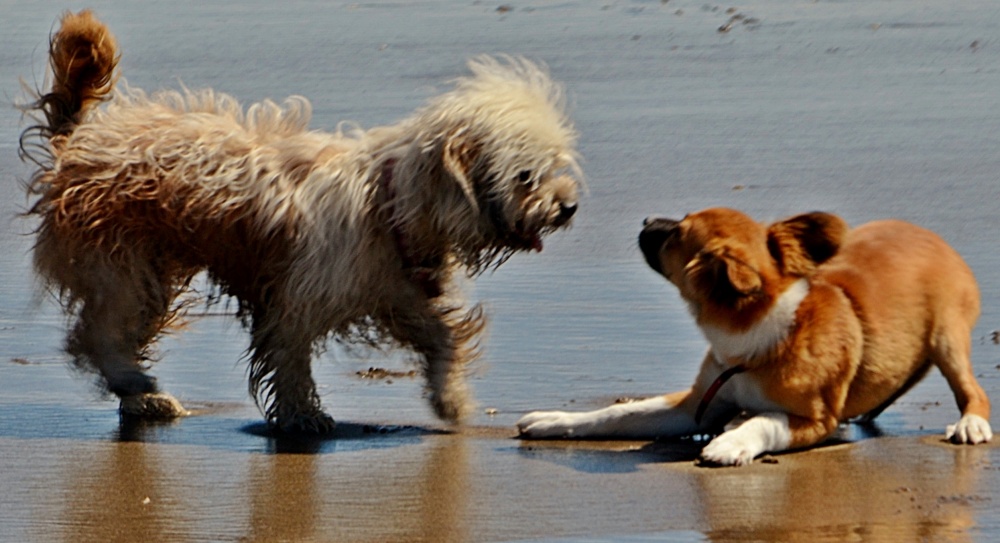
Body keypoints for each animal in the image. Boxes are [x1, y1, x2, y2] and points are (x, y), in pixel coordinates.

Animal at [19, 9, 584, 434]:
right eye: (526, 176)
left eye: (556, 166)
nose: (568, 207)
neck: (390, 202)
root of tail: (79, 142)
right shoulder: (298, 296)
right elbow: (290, 357)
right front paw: (301, 417)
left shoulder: (398, 292)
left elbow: (442, 337)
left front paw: (450, 398)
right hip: (124, 265)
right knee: (97, 336)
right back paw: (136, 385)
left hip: (149, 271)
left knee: (113, 334)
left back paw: (141, 399)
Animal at [516, 208, 992, 468]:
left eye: (677, 233)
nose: (647, 219)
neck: (750, 345)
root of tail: (928, 234)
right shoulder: (696, 406)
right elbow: (618, 413)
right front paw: (555, 420)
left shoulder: (815, 421)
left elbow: (766, 420)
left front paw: (732, 441)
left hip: (948, 339)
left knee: (973, 391)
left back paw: (971, 423)